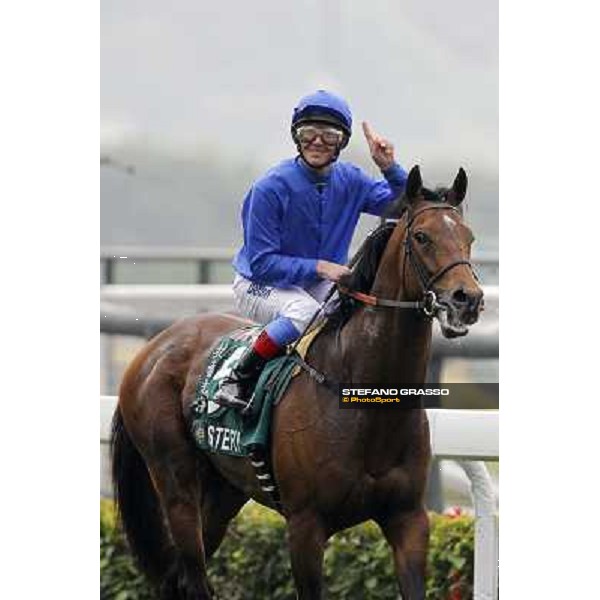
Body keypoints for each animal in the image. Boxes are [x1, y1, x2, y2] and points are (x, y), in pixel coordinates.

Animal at [109, 165, 482, 600]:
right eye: (422, 237)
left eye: (469, 236)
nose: (467, 300)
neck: (362, 398)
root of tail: (153, 347)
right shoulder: (305, 526)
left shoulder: (408, 518)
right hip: (175, 483)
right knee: (193, 575)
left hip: (225, 490)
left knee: (178, 578)